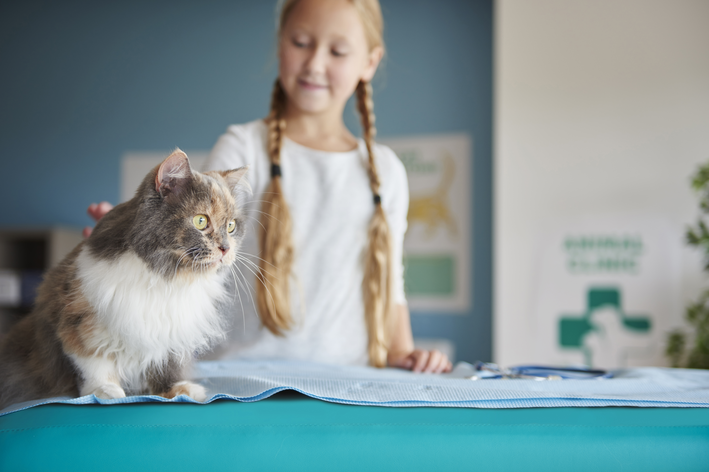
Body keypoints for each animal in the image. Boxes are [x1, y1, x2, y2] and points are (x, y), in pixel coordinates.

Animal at [0, 148, 249, 410]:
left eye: (231, 226)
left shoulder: (171, 330)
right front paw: (104, 391)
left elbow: (166, 364)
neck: (166, 277)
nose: (225, 248)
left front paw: (176, 390)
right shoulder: (78, 318)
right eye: (201, 221)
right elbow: (94, 361)